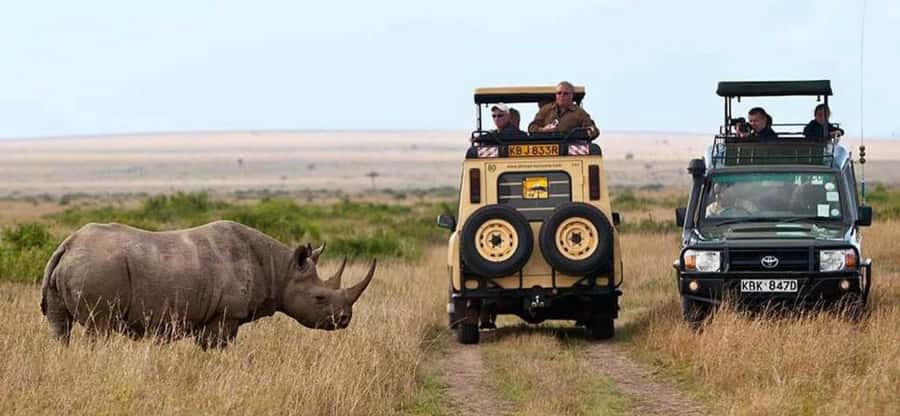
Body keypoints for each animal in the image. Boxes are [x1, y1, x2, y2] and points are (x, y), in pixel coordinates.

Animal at [40, 220, 375, 349]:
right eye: (320, 298)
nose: (345, 320)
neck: (280, 269)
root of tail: (68, 244)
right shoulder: (226, 316)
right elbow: (217, 348)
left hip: (77, 265)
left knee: (60, 327)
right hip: (99, 268)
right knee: (100, 328)